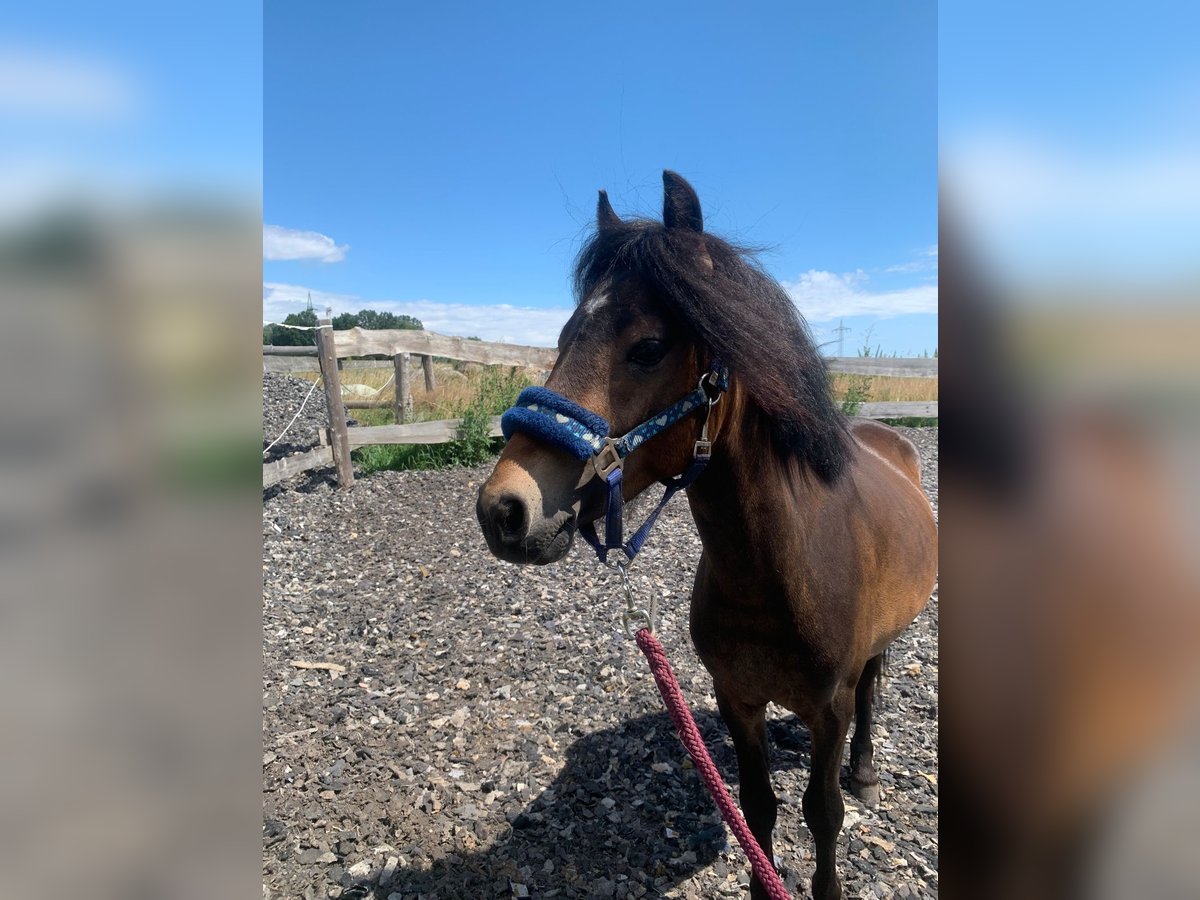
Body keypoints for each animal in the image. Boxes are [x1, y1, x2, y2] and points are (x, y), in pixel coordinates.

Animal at [475, 172, 936, 897]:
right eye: (564, 335)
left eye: (648, 347)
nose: (505, 509)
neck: (778, 574)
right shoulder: (735, 696)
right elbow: (756, 808)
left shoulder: (828, 707)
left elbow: (823, 812)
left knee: (871, 687)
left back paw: (863, 770)